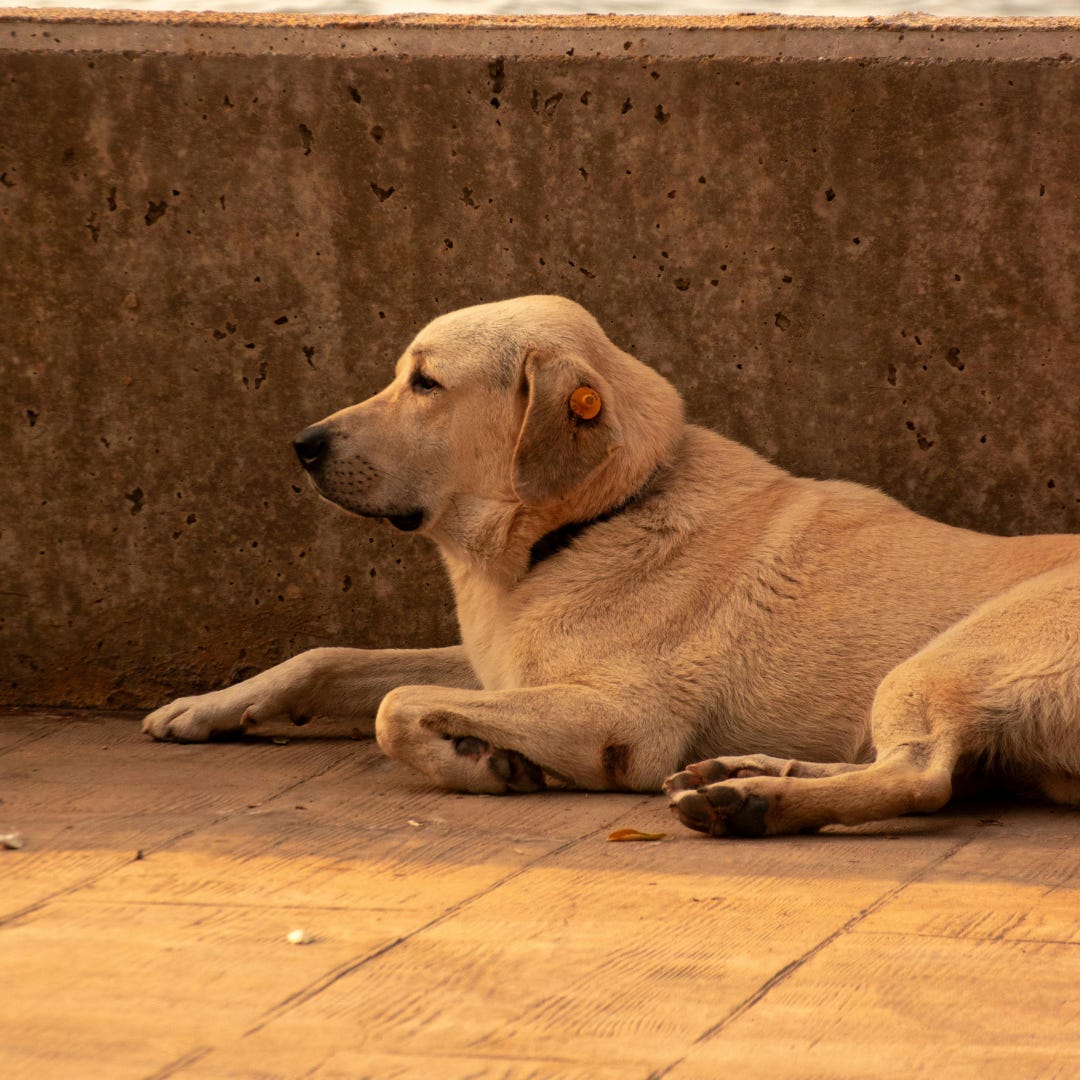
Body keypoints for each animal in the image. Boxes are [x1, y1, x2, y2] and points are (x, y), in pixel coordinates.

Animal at [143, 295, 1080, 837]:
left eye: (426, 384)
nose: (301, 445)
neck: (594, 519)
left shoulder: (620, 715)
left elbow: (395, 705)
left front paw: (483, 764)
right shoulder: (495, 662)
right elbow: (329, 658)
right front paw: (207, 708)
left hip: (941, 660)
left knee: (921, 780)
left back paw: (754, 806)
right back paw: (744, 779)